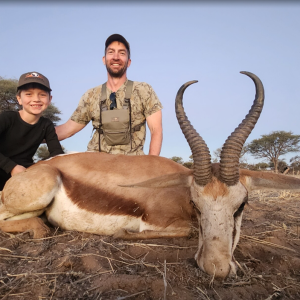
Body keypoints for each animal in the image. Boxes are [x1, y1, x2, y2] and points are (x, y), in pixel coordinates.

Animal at [0, 72, 300, 278]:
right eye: (195, 203)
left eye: (241, 205)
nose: (216, 268)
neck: (177, 191)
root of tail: (38, 168)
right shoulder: (155, 223)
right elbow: (183, 230)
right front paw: (123, 232)